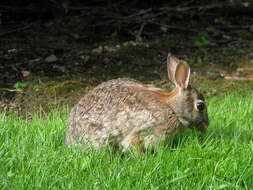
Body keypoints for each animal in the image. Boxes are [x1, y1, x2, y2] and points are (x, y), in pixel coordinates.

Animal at [64, 54, 208, 151]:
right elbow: (132, 144)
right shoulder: (145, 130)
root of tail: (70, 137)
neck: (173, 108)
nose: (206, 125)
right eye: (200, 106)